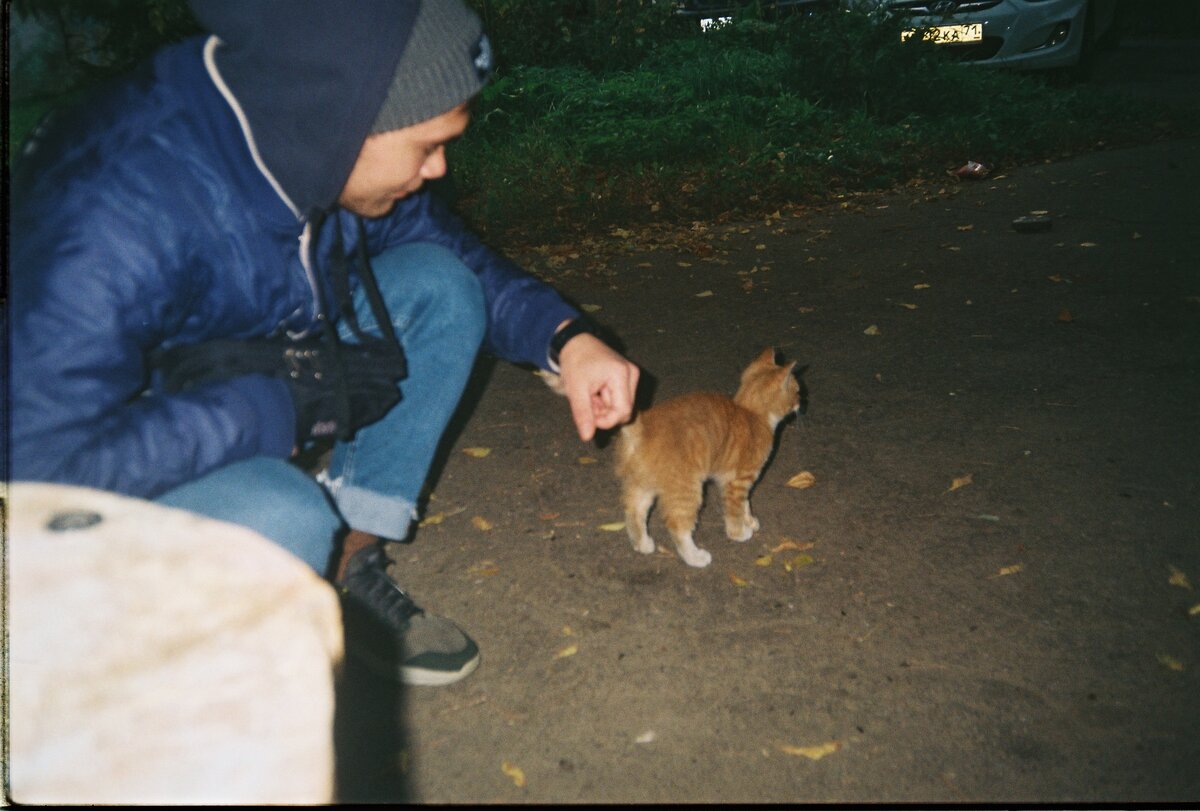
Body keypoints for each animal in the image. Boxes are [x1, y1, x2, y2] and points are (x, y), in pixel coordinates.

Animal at [613, 347, 801, 568]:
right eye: (798, 390)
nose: (801, 402)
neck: (752, 414)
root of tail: (642, 429)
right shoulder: (737, 481)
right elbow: (736, 509)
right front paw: (739, 532)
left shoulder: (736, 482)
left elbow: (745, 503)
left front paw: (749, 520)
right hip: (687, 490)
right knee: (678, 526)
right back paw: (695, 557)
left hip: (643, 484)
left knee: (634, 510)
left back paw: (642, 544)